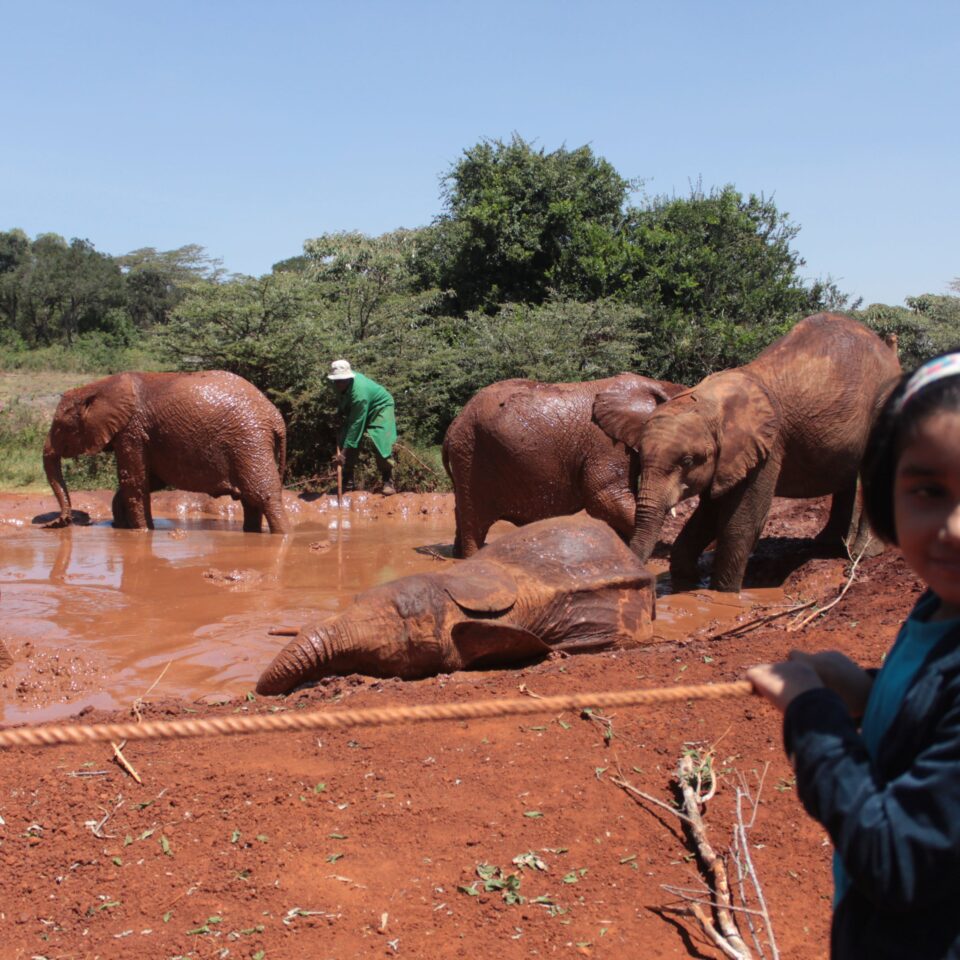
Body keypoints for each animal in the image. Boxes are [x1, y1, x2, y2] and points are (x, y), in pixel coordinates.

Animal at [43, 370, 288, 532]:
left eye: (60, 427)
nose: (56, 523)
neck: (100, 386)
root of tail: (276, 418)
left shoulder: (132, 430)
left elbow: (133, 481)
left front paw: (142, 532)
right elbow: (149, 481)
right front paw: (123, 527)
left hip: (250, 440)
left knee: (263, 495)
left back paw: (282, 535)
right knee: (251, 500)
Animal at [438, 374, 688, 560]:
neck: (654, 383)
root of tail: (451, 430)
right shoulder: (606, 444)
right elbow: (604, 498)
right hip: (471, 453)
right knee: (474, 516)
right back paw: (470, 557)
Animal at [596, 314, 904, 592]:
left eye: (687, 461)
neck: (712, 401)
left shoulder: (767, 447)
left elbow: (740, 521)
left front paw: (722, 594)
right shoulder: (727, 457)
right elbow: (708, 513)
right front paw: (687, 582)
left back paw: (863, 554)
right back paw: (826, 546)